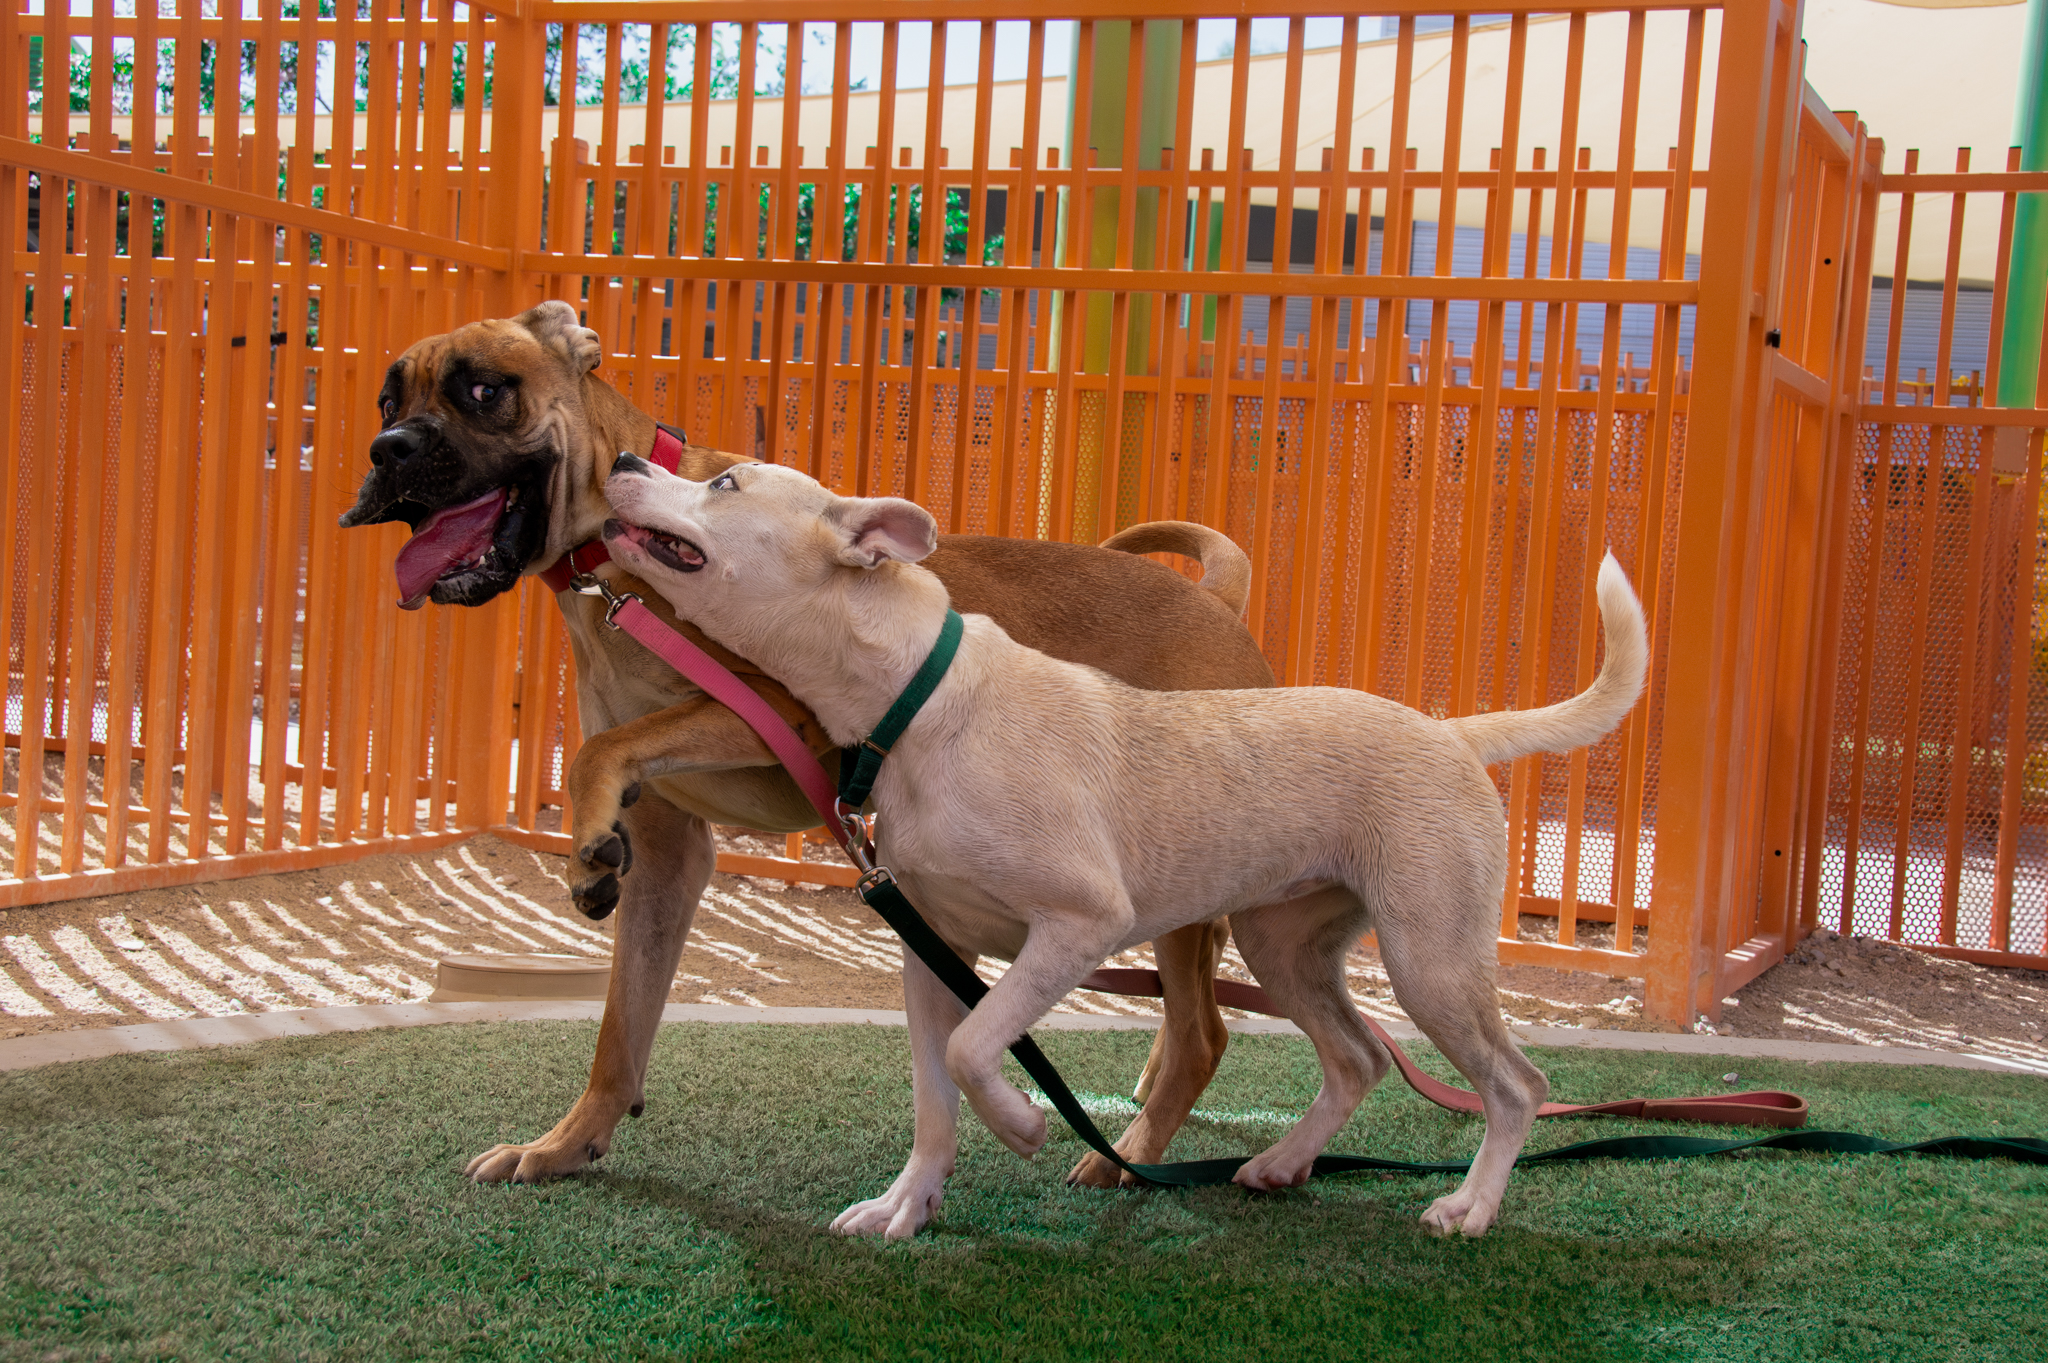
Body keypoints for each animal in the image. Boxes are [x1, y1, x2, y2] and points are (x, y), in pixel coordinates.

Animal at [333, 302, 1261, 1186]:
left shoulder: (780, 713)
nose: (387, 449)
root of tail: (1216, 599)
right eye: (384, 401)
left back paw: (1127, 1152)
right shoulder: (670, 848)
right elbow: (622, 1022)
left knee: (1206, 1031)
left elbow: (600, 754)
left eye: (483, 388)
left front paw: (586, 852)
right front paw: (569, 1141)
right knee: (1191, 1006)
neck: (604, 571)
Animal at [593, 450, 1646, 1236]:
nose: (625, 461)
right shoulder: (930, 953)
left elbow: (977, 1046)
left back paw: (1469, 1206)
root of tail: (1454, 733)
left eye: (726, 482)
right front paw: (909, 1204)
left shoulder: (1078, 925)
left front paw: (1024, 1124)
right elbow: (934, 1093)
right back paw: (1281, 1162)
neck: (921, 700)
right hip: (1286, 945)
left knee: (1516, 1084)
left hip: (1431, 957)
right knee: (1358, 1058)